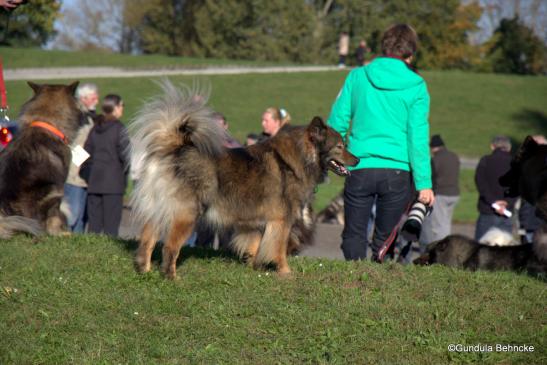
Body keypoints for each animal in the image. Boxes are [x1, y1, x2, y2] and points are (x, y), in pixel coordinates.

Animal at [130, 81, 358, 278]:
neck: (300, 158)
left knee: (147, 240)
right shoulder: (281, 221)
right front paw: (285, 272)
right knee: (170, 246)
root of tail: (175, 148)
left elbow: (256, 245)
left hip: (158, 209)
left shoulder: (256, 223)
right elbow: (279, 249)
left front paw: (255, 267)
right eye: (340, 146)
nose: (358, 159)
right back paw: (171, 277)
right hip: (186, 213)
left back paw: (145, 271)